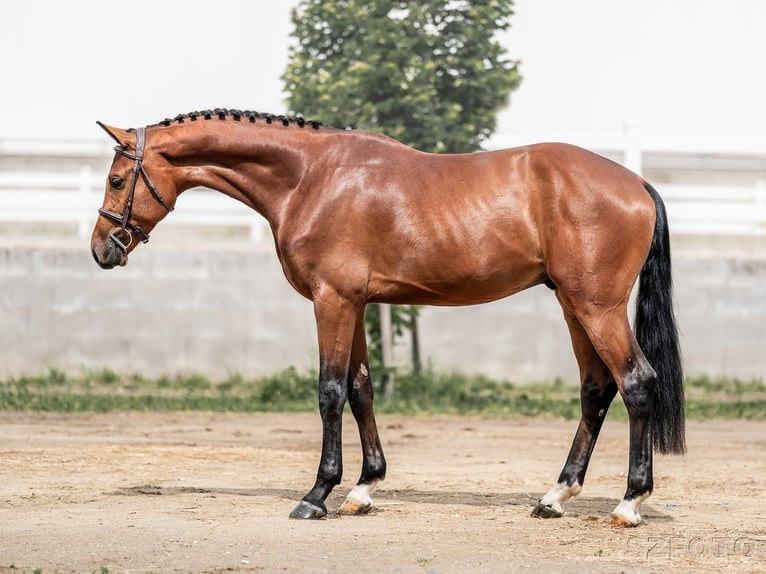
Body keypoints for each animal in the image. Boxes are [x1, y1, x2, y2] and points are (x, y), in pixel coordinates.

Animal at [91, 109, 685, 526]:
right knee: (596, 389)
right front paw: (363, 489)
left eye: (118, 181)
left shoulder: (332, 301)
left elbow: (330, 391)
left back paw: (629, 504)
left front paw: (317, 495)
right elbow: (361, 389)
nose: (102, 249)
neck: (311, 177)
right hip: (572, 305)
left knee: (636, 383)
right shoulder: (354, 305)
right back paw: (555, 496)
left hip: (596, 307)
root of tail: (636, 184)